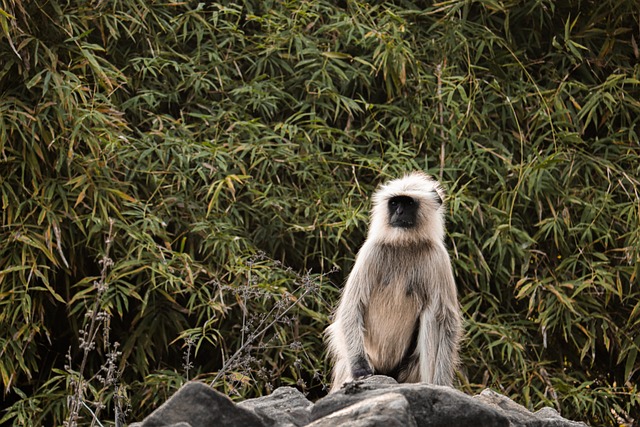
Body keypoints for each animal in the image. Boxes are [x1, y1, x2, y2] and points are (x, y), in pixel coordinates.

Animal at [324, 172, 460, 392]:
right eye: (395, 203)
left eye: (408, 203)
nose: (399, 212)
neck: (404, 243)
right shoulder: (371, 251)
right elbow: (351, 307)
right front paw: (359, 369)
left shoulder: (438, 257)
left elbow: (447, 319)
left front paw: (442, 384)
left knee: (432, 315)